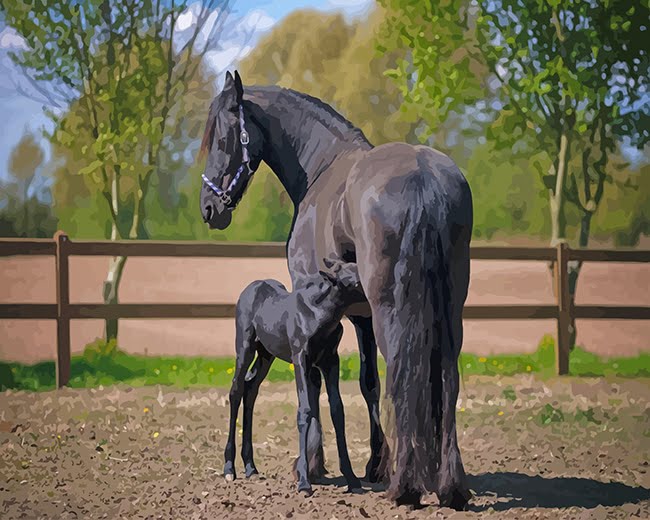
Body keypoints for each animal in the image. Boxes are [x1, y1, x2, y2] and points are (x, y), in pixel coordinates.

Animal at [224, 259, 365, 495]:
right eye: (354, 282)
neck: (319, 314)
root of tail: (251, 288)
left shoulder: (331, 361)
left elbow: (338, 411)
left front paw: (352, 478)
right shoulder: (300, 358)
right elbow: (305, 410)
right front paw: (304, 482)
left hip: (266, 355)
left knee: (251, 388)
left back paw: (251, 466)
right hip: (244, 347)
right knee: (236, 390)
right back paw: (229, 468)